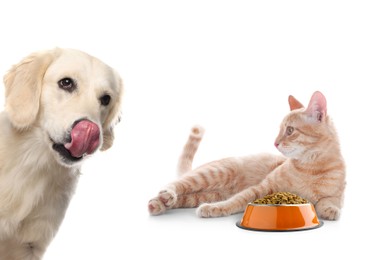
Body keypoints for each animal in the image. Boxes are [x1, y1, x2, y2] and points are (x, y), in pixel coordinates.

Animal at [148, 91, 344, 219]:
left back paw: (160, 204)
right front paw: (215, 208)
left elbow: (329, 201)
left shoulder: (337, 196)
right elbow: (236, 200)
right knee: (177, 183)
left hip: (202, 195)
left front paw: (330, 211)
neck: (311, 168)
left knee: (183, 197)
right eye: (280, 130)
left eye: (289, 130)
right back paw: (165, 195)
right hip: (211, 174)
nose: (275, 142)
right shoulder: (262, 188)